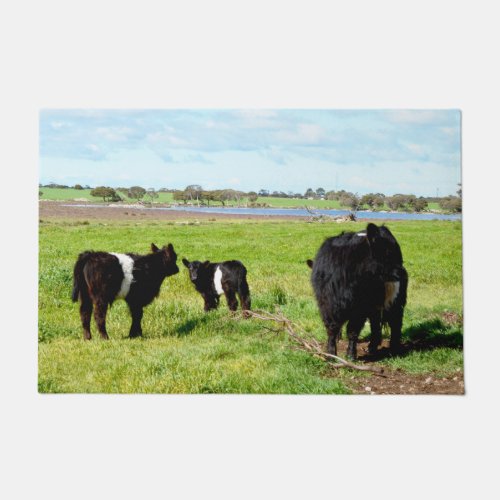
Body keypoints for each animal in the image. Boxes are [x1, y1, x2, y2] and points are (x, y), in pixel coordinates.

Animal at [306, 224, 408, 360]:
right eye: (387, 252)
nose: (402, 272)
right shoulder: (327, 305)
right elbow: (332, 329)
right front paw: (331, 354)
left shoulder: (360, 309)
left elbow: (352, 330)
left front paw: (350, 355)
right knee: (376, 324)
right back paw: (372, 347)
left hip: (396, 301)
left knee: (395, 322)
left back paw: (394, 348)